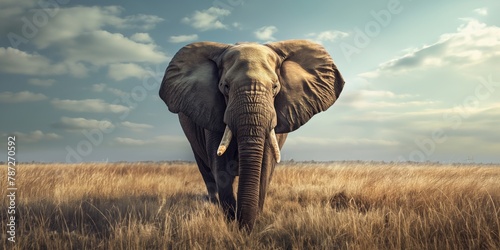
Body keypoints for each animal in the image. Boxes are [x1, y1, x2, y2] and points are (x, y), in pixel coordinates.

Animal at [159, 39, 344, 230]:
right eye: (225, 87)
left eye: (275, 87)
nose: (243, 227)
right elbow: (221, 169)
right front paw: (232, 223)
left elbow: (264, 167)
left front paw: (254, 220)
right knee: (206, 169)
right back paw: (213, 204)